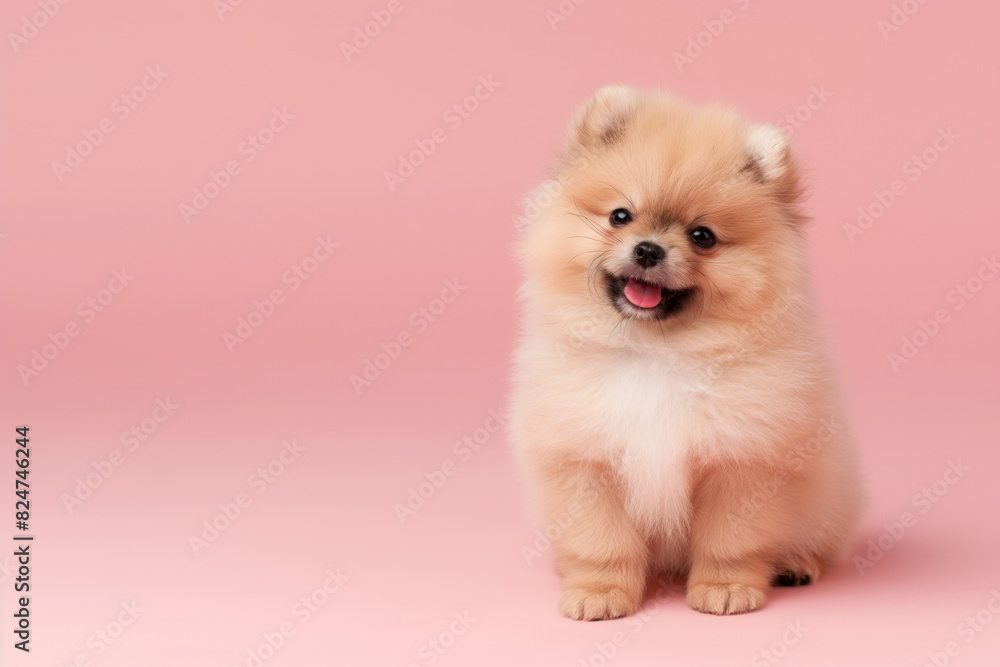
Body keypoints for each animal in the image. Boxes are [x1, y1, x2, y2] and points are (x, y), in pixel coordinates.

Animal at [512, 86, 864, 620]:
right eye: (620, 216)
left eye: (703, 236)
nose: (648, 249)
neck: (655, 351)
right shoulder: (585, 461)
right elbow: (602, 542)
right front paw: (599, 591)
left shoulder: (739, 460)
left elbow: (729, 539)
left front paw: (725, 586)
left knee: (822, 541)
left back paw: (797, 564)